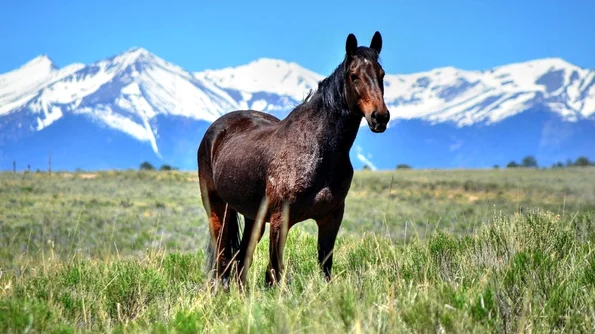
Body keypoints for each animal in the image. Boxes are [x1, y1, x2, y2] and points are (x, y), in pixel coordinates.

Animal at [197, 30, 392, 288]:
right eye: (354, 76)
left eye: (381, 74)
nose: (380, 117)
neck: (319, 151)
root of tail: (215, 131)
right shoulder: (280, 219)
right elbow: (275, 272)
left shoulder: (331, 218)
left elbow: (324, 266)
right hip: (217, 207)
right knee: (222, 257)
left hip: (251, 217)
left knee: (241, 259)